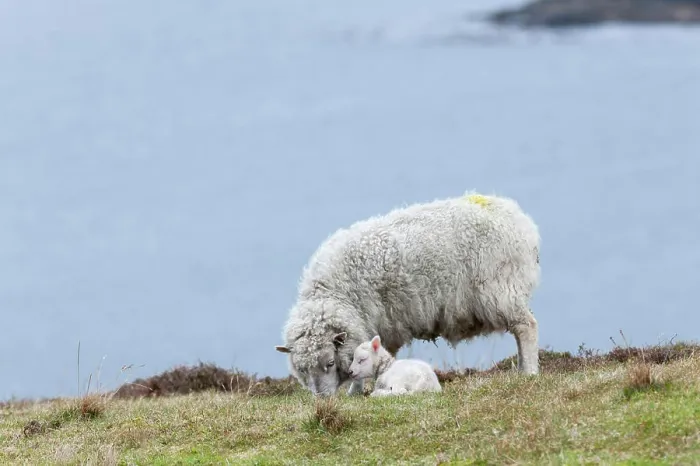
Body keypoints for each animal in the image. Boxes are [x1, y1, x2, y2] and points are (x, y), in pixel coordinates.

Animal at [275, 191, 541, 397]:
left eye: (330, 362)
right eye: (302, 369)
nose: (322, 399)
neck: (333, 293)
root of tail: (521, 220)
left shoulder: (376, 321)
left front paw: (355, 391)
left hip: (502, 289)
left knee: (526, 327)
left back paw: (530, 371)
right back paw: (521, 370)